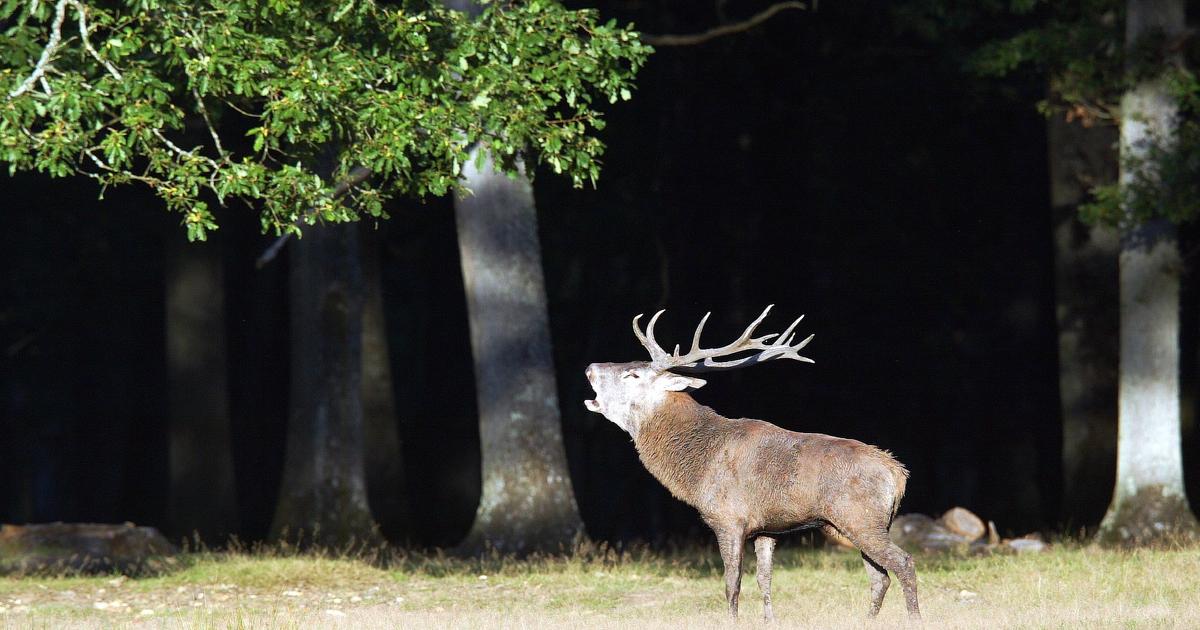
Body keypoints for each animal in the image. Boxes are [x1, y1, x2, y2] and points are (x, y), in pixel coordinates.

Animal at [583, 306, 919, 621]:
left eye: (633, 375)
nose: (589, 367)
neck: (698, 466)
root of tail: (898, 473)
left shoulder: (729, 517)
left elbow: (732, 583)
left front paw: (731, 620)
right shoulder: (766, 528)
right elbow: (764, 579)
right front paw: (770, 620)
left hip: (860, 517)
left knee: (903, 563)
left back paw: (915, 618)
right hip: (859, 523)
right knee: (879, 577)